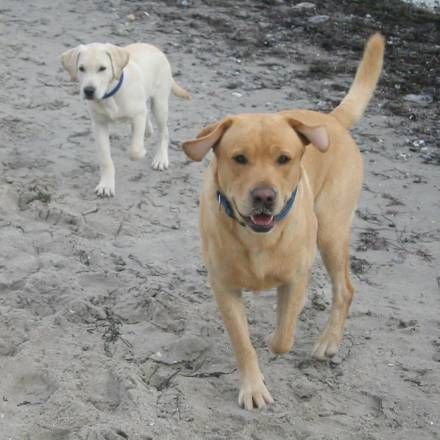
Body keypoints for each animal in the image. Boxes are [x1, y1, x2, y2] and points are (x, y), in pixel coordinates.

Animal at [59, 42, 190, 196]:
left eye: (102, 68)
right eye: (81, 68)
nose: (89, 91)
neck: (110, 94)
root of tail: (155, 48)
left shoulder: (138, 115)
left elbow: (135, 150)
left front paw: (142, 152)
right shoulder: (99, 125)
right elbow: (105, 159)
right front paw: (106, 185)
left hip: (160, 104)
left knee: (164, 132)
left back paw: (161, 159)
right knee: (147, 117)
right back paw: (148, 130)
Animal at [180, 33, 384, 410]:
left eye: (284, 159)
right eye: (239, 158)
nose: (264, 196)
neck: (257, 237)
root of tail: (331, 121)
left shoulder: (294, 278)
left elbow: (284, 336)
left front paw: (276, 335)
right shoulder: (224, 287)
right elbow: (243, 343)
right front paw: (253, 387)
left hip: (331, 232)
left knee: (345, 289)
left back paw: (328, 342)